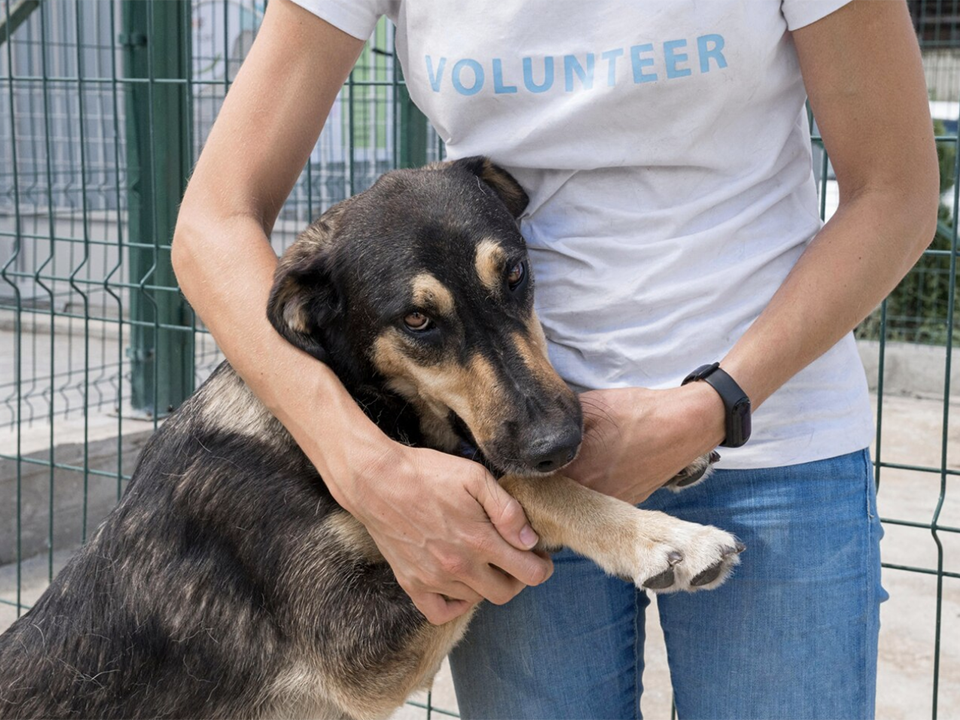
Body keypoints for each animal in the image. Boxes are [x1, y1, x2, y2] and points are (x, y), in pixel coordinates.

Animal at [0, 159, 744, 720]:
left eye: (515, 276)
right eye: (417, 320)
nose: (557, 443)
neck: (366, 409)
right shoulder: (362, 655)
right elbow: (510, 484)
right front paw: (660, 537)